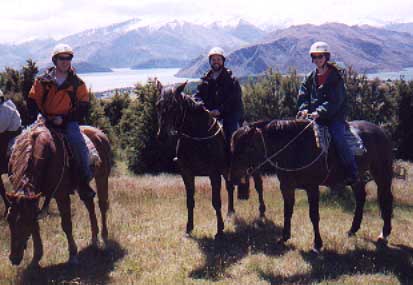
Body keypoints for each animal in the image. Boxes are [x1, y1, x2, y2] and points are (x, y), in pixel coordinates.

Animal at [5, 118, 111, 266]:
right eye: (9, 219)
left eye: (25, 222)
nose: (14, 258)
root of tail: (100, 133)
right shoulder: (34, 198)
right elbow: (36, 226)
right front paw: (36, 257)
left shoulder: (61, 195)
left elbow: (66, 224)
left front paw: (73, 254)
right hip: (82, 185)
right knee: (90, 204)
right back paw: (94, 239)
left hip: (102, 176)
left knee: (102, 204)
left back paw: (105, 238)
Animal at [154, 81, 264, 237]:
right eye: (158, 105)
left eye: (174, 106)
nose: (162, 135)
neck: (197, 137)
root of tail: (254, 128)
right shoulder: (187, 174)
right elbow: (190, 201)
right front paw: (189, 228)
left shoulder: (214, 174)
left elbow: (216, 201)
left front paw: (219, 230)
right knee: (230, 187)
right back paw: (230, 212)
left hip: (255, 167)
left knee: (259, 186)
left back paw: (262, 213)